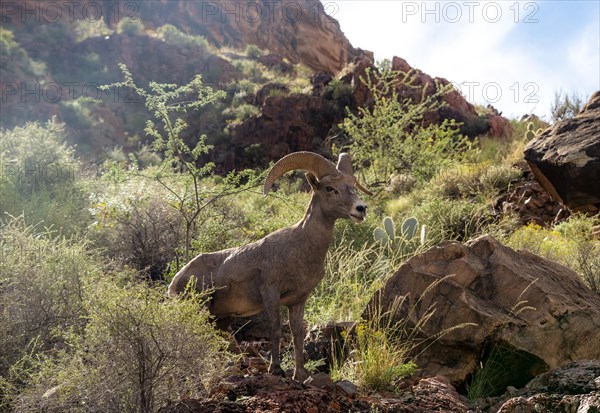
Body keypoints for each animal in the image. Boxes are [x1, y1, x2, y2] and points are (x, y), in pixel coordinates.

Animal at [166, 151, 368, 380]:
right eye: (329, 188)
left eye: (351, 185)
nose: (361, 209)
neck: (301, 247)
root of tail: (176, 281)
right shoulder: (270, 293)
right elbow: (276, 329)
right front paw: (276, 369)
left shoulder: (298, 300)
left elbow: (297, 333)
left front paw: (300, 374)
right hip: (200, 309)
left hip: (219, 319)